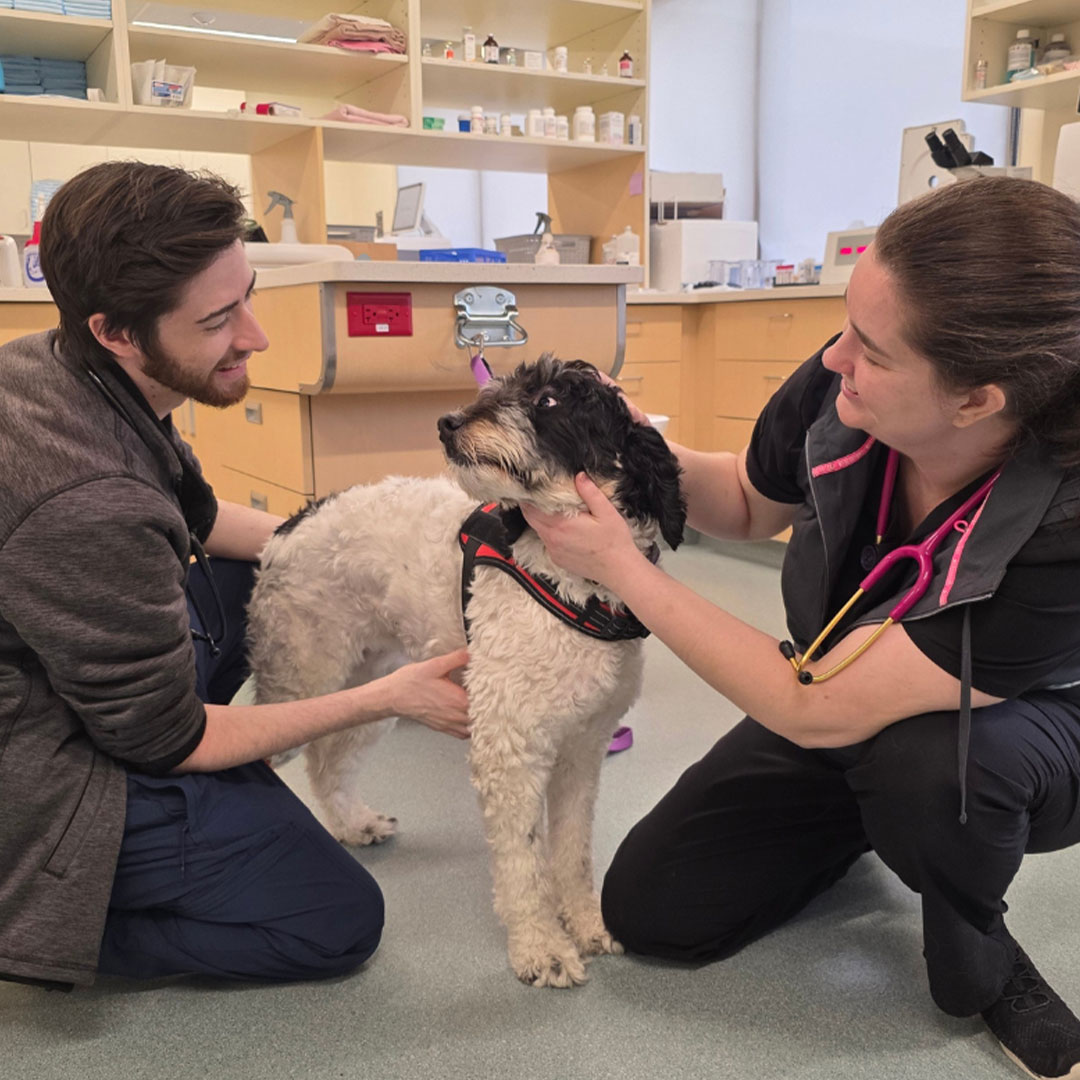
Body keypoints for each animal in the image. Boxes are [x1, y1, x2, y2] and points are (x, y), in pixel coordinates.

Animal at [247, 355, 686, 987]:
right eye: (502, 384)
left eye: (549, 401)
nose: (447, 422)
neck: (573, 584)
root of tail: (290, 522)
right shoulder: (511, 750)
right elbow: (525, 863)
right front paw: (541, 948)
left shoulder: (583, 749)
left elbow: (572, 851)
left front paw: (585, 924)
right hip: (301, 676)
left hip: (371, 687)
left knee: (327, 761)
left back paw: (354, 824)